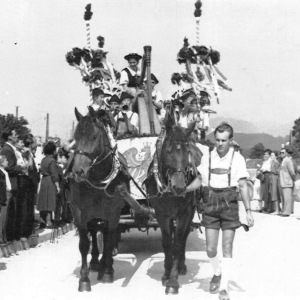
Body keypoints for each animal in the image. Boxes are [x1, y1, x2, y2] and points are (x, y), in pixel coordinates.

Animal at [70, 107, 150, 290]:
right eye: (75, 138)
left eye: (93, 137)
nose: (78, 171)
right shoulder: (79, 213)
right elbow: (84, 244)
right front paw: (84, 279)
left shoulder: (113, 213)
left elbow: (108, 239)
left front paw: (107, 271)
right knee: (95, 232)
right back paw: (95, 263)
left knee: (106, 236)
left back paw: (103, 265)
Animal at [145, 107, 203, 292]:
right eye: (168, 151)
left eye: (188, 152)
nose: (179, 187)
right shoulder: (161, 214)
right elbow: (166, 243)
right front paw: (166, 274)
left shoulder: (184, 213)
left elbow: (177, 243)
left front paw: (173, 281)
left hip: (189, 212)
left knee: (183, 237)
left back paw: (182, 266)